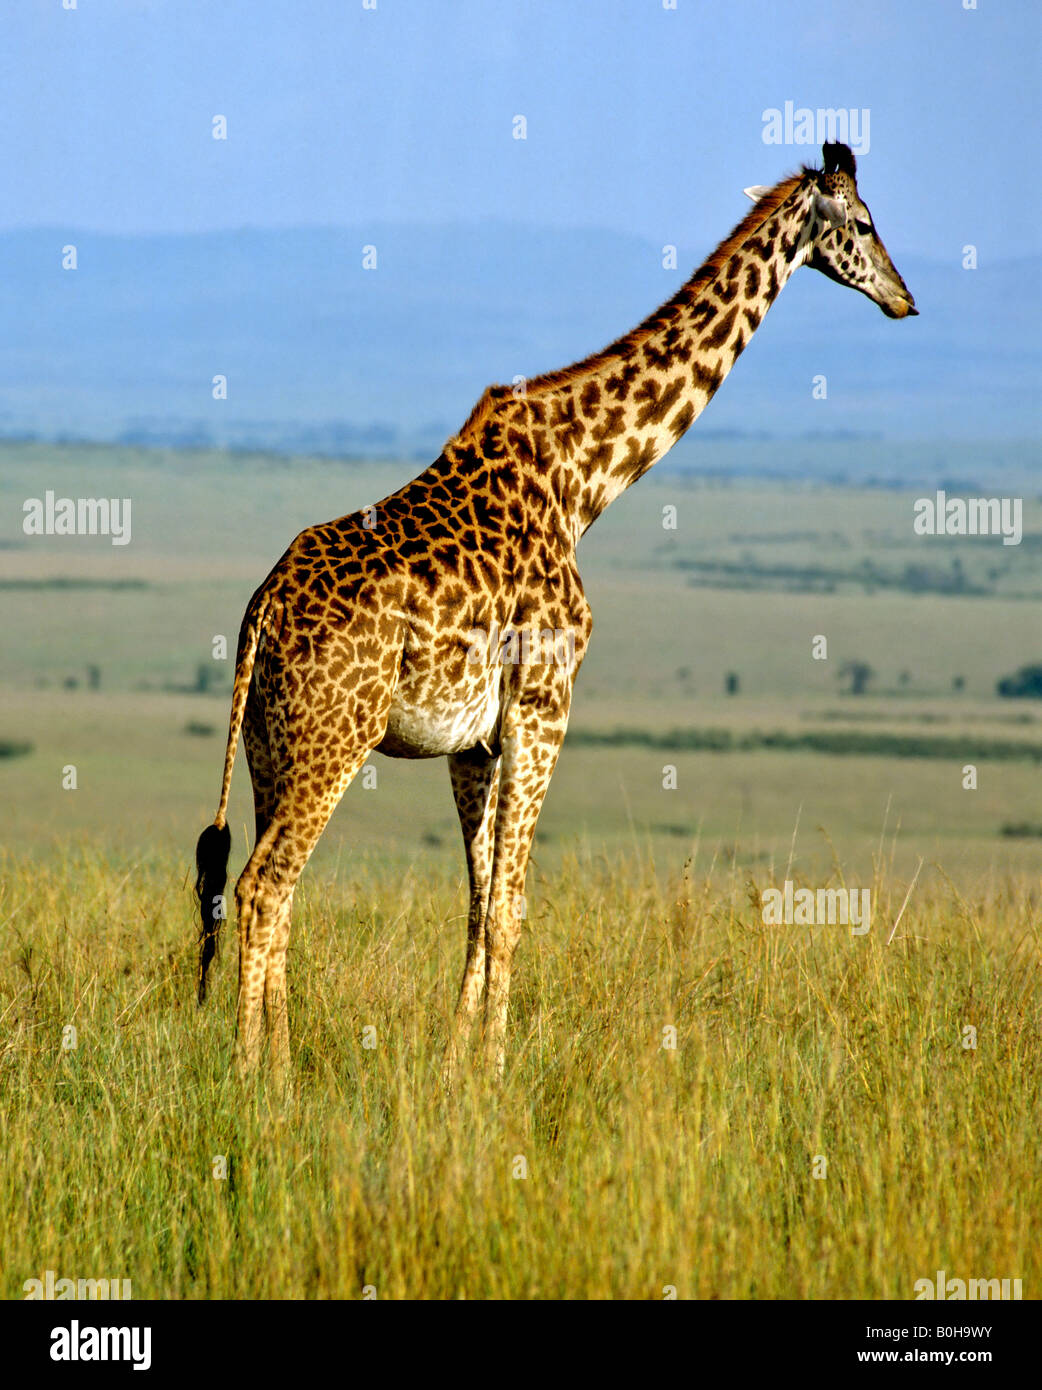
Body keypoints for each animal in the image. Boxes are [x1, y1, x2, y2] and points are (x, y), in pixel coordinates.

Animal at [194, 143, 911, 1073]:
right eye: (863, 222)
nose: (904, 297)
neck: (586, 478)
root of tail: (264, 608)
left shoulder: (475, 739)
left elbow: (477, 903)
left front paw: (457, 1061)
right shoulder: (546, 704)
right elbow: (510, 907)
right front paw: (498, 1067)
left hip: (268, 746)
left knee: (272, 891)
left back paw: (278, 1060)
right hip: (333, 738)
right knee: (261, 886)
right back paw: (259, 1074)